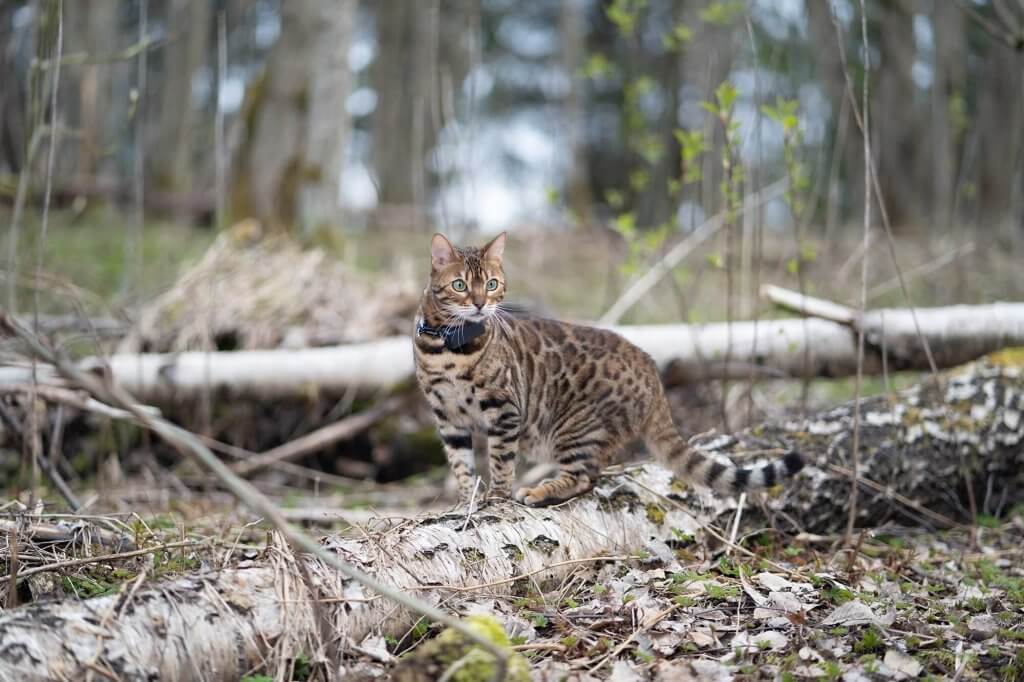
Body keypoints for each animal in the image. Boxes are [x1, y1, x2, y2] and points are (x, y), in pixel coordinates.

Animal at [411, 233, 802, 503]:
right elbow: (460, 464)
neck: (448, 347)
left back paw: (538, 492)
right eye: (460, 285)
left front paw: (497, 496)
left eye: (492, 284)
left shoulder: (504, 409)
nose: (480, 304)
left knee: (584, 478)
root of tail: (652, 370)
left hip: (576, 427)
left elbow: (500, 459)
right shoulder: (447, 417)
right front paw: (465, 503)